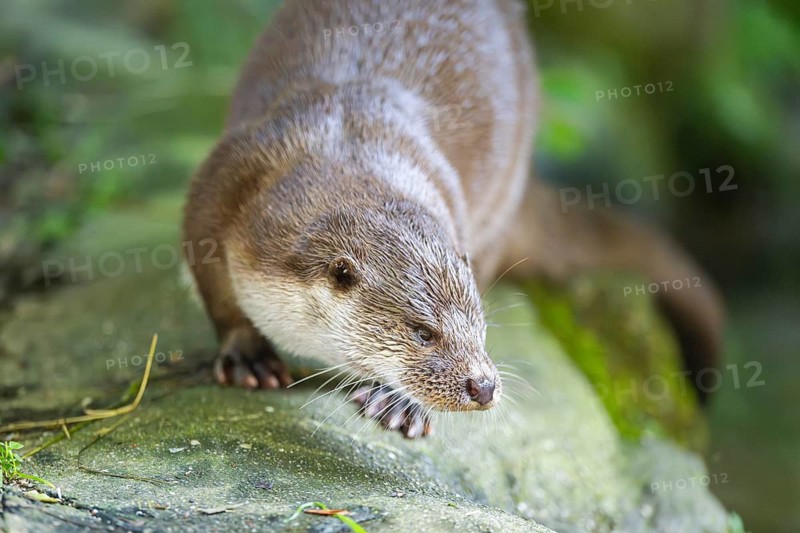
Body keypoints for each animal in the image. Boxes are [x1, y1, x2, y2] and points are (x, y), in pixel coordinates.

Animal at [183, 0, 723, 438]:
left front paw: (398, 402)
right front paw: (247, 353)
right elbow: (214, 286)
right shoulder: (222, 181)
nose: (482, 386)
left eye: (481, 326)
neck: (341, 140)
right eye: (423, 332)